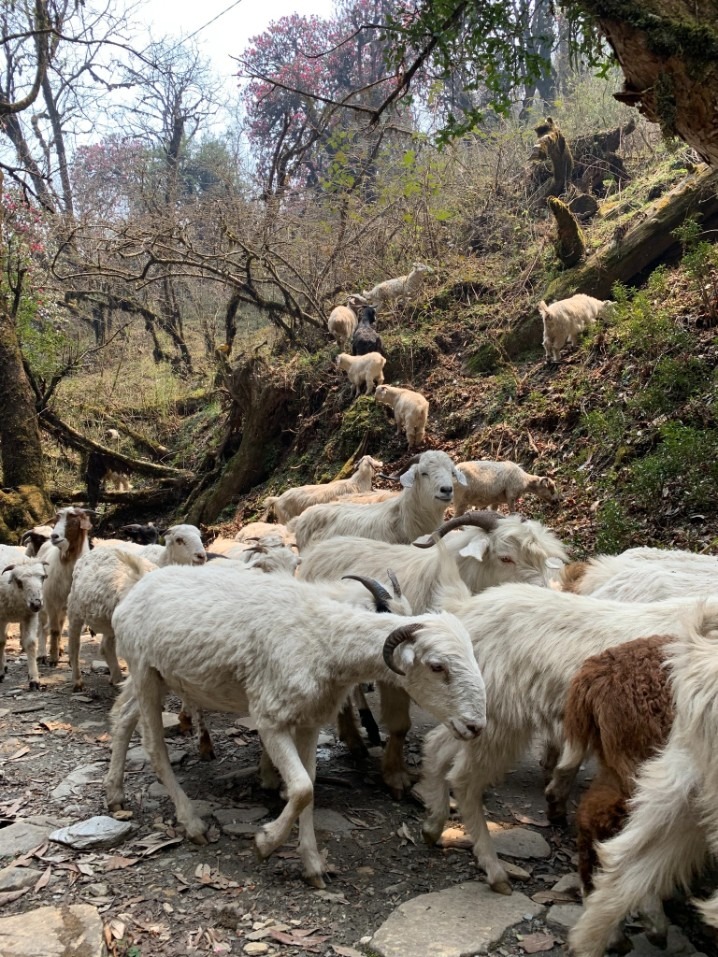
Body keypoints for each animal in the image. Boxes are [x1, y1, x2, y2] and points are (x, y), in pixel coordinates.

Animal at [0, 560, 48, 688]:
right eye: (19, 581)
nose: (36, 604)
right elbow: (0, 642)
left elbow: (30, 643)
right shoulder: (1, 617)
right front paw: (0, 673)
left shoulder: (30, 616)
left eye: (42, 577)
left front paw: (34, 679)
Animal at [107, 564, 490, 884]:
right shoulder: (270, 719)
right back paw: (191, 822)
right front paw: (265, 842)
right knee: (153, 746)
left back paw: (114, 792)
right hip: (142, 668)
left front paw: (313, 866)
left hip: (157, 676)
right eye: (437, 666)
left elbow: (309, 789)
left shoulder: (309, 720)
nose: (475, 727)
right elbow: (303, 788)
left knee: (122, 717)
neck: (324, 636)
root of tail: (135, 590)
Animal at [416, 584, 718, 896]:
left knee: (437, 746)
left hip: (474, 718)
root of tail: (467, 609)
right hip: (498, 720)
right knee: (464, 779)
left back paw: (433, 826)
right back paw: (494, 869)